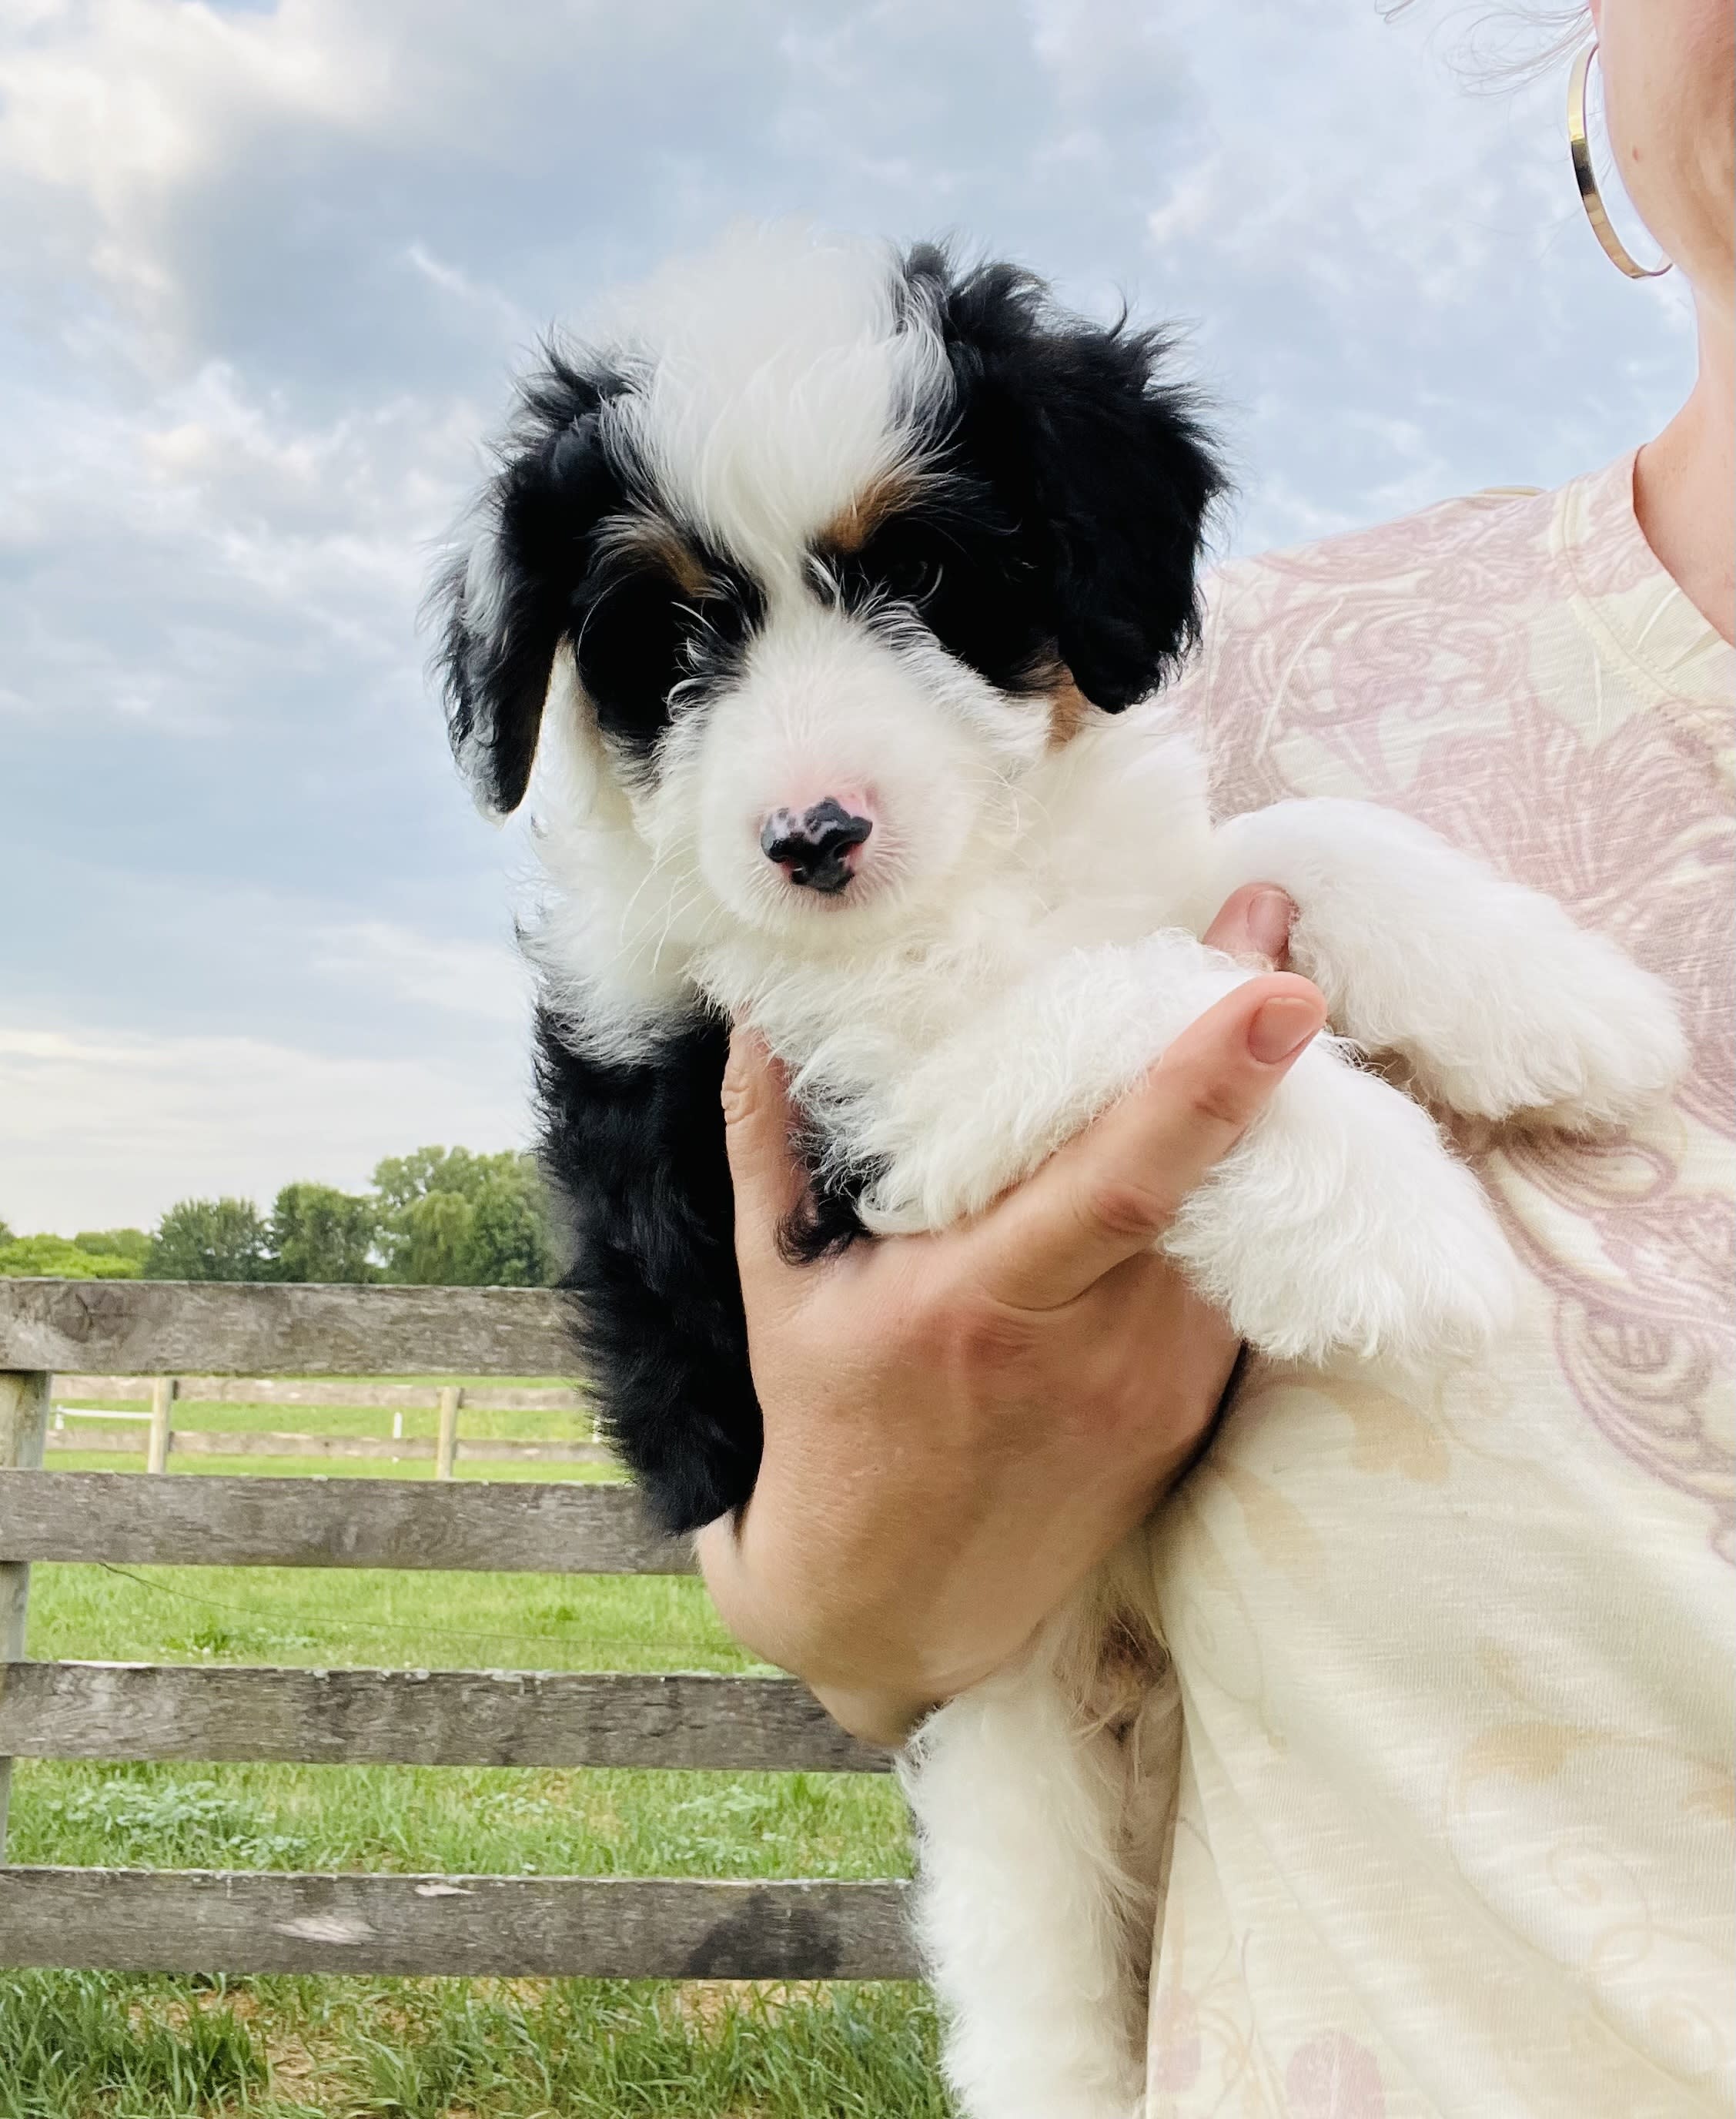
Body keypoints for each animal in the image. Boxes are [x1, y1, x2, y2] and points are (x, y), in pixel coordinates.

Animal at [434, 223, 1687, 2119]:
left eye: (926, 568)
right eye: (667, 635)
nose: (810, 837)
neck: (955, 896)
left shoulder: (1122, 881)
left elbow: (1281, 851)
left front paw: (1551, 996)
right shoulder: (862, 1125)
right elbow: (1153, 1000)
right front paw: (1384, 1205)